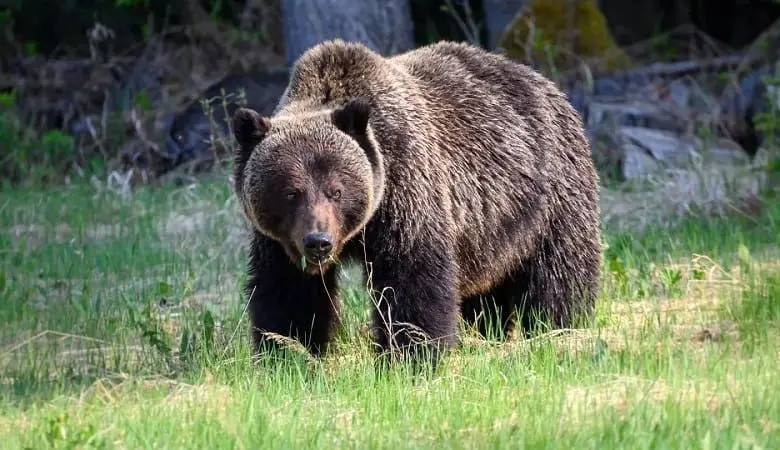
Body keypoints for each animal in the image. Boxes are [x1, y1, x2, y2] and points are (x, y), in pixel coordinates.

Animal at [229, 38, 600, 362]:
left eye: (336, 191)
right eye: (291, 192)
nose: (318, 241)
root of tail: (545, 83)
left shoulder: (407, 190)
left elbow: (412, 279)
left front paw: (409, 356)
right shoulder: (279, 241)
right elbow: (289, 293)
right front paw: (287, 354)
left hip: (548, 195)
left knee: (558, 273)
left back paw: (560, 330)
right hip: (490, 234)